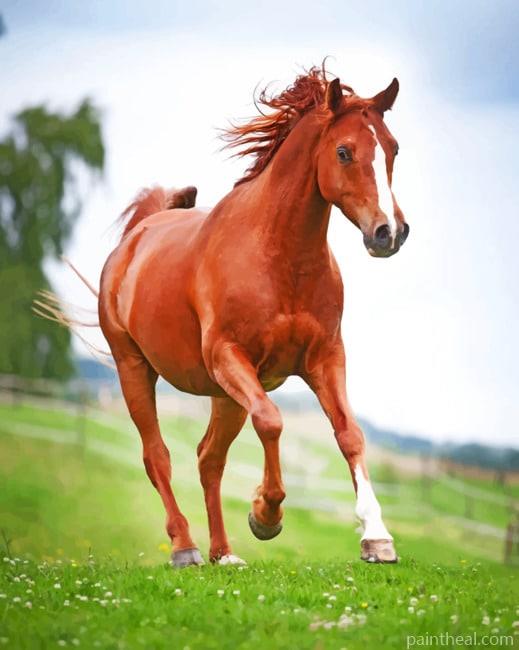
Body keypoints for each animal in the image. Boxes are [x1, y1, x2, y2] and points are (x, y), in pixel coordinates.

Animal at [98, 66, 409, 567]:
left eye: (393, 148)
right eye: (344, 151)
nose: (389, 233)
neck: (280, 257)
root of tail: (137, 235)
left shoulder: (325, 358)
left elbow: (350, 435)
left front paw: (377, 538)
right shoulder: (230, 356)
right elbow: (272, 421)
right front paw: (265, 515)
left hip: (224, 396)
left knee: (208, 458)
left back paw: (224, 554)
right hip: (136, 369)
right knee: (157, 455)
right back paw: (186, 548)